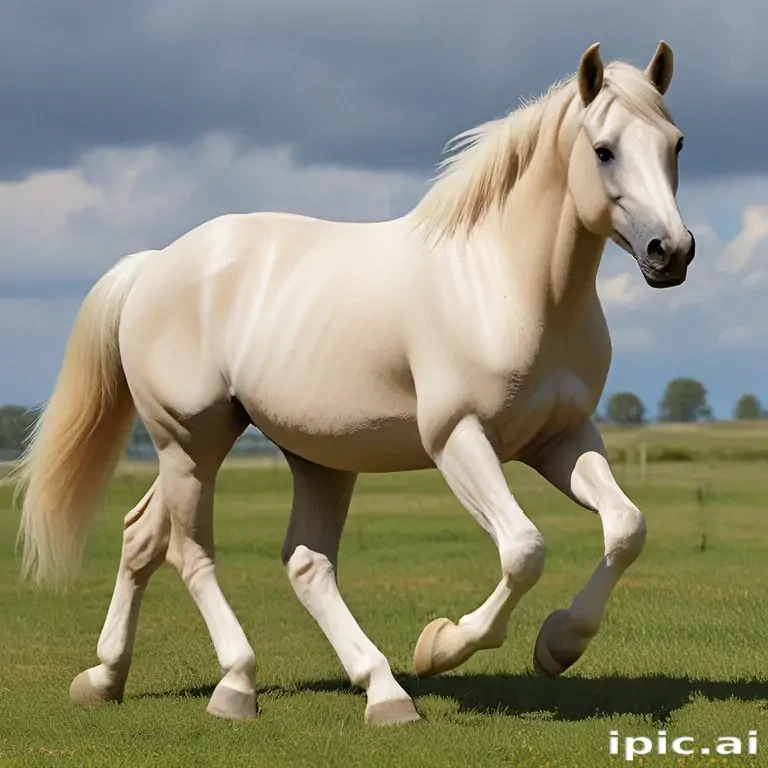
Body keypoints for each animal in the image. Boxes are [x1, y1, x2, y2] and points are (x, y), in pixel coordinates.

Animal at [13, 41, 695, 726]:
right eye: (603, 150)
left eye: (676, 143)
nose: (672, 252)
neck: (505, 284)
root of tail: (154, 265)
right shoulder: (458, 440)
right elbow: (523, 550)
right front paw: (440, 646)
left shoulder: (561, 438)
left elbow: (627, 528)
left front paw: (559, 645)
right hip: (190, 442)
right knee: (189, 550)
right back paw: (237, 684)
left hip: (305, 457)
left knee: (231, 552)